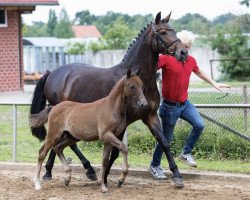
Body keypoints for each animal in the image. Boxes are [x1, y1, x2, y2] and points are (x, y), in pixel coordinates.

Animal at [29, 12, 188, 188]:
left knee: (62, 143)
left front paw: (177, 175)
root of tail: (51, 73)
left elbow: (164, 142)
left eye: (173, 30)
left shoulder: (150, 116)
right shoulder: (123, 122)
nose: (183, 52)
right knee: (64, 143)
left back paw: (53, 171)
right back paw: (84, 170)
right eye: (163, 32)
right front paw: (107, 178)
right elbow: (116, 150)